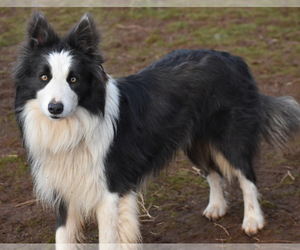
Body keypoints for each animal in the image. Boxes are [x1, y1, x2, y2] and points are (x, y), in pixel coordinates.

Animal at [14, 11, 300, 244]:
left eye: (73, 79)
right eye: (44, 77)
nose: (55, 108)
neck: (76, 125)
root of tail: (234, 59)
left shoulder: (110, 191)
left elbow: (108, 239)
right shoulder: (65, 190)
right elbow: (63, 237)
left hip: (231, 137)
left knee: (246, 175)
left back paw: (253, 221)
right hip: (194, 142)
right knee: (213, 172)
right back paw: (217, 206)